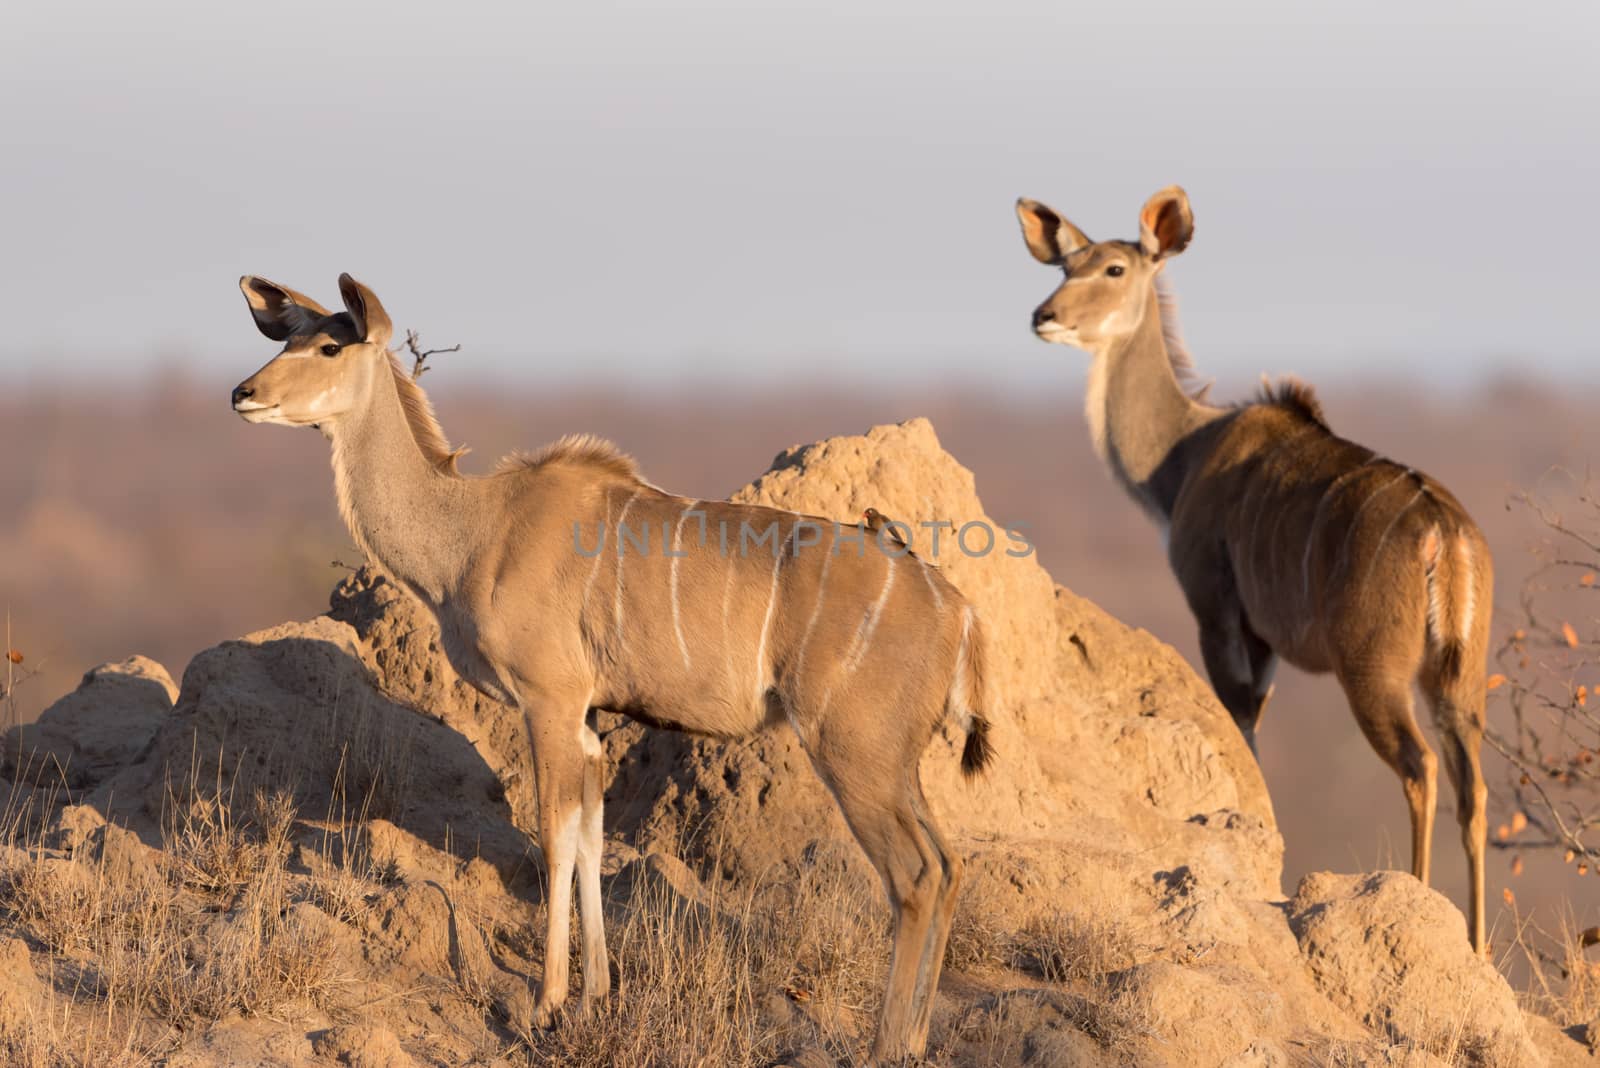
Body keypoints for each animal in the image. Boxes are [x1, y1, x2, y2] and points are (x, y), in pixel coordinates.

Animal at [233, 273, 992, 1061]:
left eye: (329, 346)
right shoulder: (591, 720)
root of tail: (957, 610)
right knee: (948, 865)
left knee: (913, 876)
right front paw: (595, 994)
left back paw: (886, 1046)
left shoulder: (550, 702)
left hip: (851, 752)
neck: (475, 531)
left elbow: (553, 838)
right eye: (287, 337)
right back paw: (916, 1038)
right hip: (895, 762)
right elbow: (591, 841)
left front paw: (546, 1002)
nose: (243, 392)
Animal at [1017, 189, 1491, 952]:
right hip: (1458, 679)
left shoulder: (1217, 614)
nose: (1045, 316)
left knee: (1419, 767)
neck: (1184, 453)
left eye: (1115, 267)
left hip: (1373, 672)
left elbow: (1242, 729)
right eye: (1065, 263)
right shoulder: (1266, 642)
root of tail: (1445, 535)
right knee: (1473, 786)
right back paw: (1475, 947)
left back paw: (1417, 904)